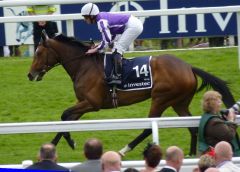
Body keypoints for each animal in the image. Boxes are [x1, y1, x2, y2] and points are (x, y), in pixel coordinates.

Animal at [27, 30, 235, 156]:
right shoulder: (83, 103)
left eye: (38, 53)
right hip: (179, 102)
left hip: (160, 98)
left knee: (147, 127)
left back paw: (123, 150)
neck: (84, 65)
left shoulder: (92, 103)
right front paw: (53, 147)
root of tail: (189, 67)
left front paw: (69, 143)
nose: (30, 74)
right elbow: (67, 119)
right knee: (191, 126)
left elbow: (65, 115)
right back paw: (192, 154)